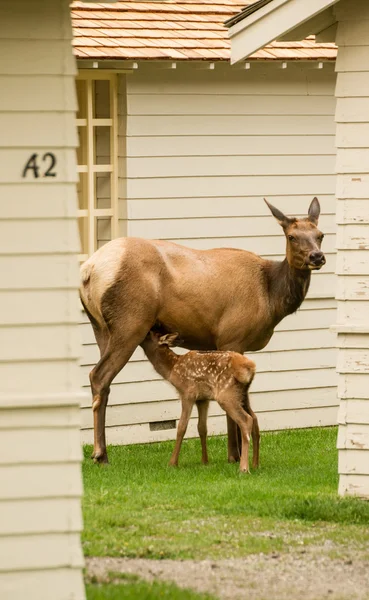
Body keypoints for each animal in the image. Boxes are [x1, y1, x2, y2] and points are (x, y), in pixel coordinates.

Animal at [141, 330, 258, 472]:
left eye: (149, 334)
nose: (143, 334)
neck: (172, 369)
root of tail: (250, 368)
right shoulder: (203, 399)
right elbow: (202, 428)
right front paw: (204, 461)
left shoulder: (188, 393)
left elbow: (182, 427)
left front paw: (172, 463)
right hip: (243, 395)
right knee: (255, 418)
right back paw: (255, 464)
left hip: (226, 394)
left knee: (246, 420)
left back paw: (244, 468)